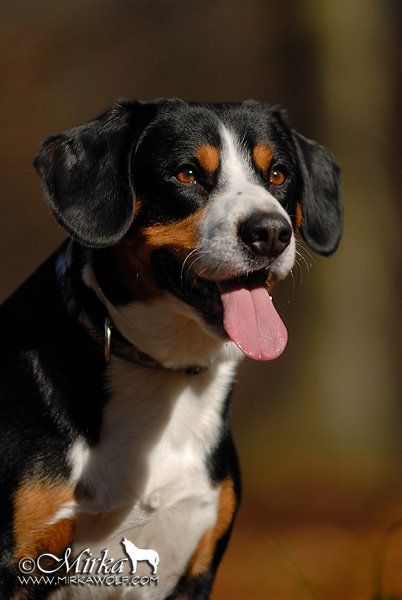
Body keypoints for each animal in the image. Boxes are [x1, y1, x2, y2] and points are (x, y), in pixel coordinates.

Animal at [0, 101, 342, 596]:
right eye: (187, 173)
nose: (270, 232)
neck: (164, 376)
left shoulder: (196, 564)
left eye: (278, 174)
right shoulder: (19, 560)